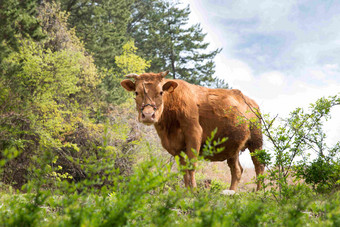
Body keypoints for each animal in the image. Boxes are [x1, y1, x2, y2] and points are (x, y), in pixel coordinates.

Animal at [121, 70, 266, 190]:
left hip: (256, 141)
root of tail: (250, 101)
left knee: (259, 166)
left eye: (161, 92)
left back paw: (259, 192)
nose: (148, 115)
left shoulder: (194, 133)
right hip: (233, 146)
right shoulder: (175, 146)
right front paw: (186, 191)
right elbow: (183, 169)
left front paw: (194, 190)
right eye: (136, 92)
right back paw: (231, 191)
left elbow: (191, 165)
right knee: (236, 170)